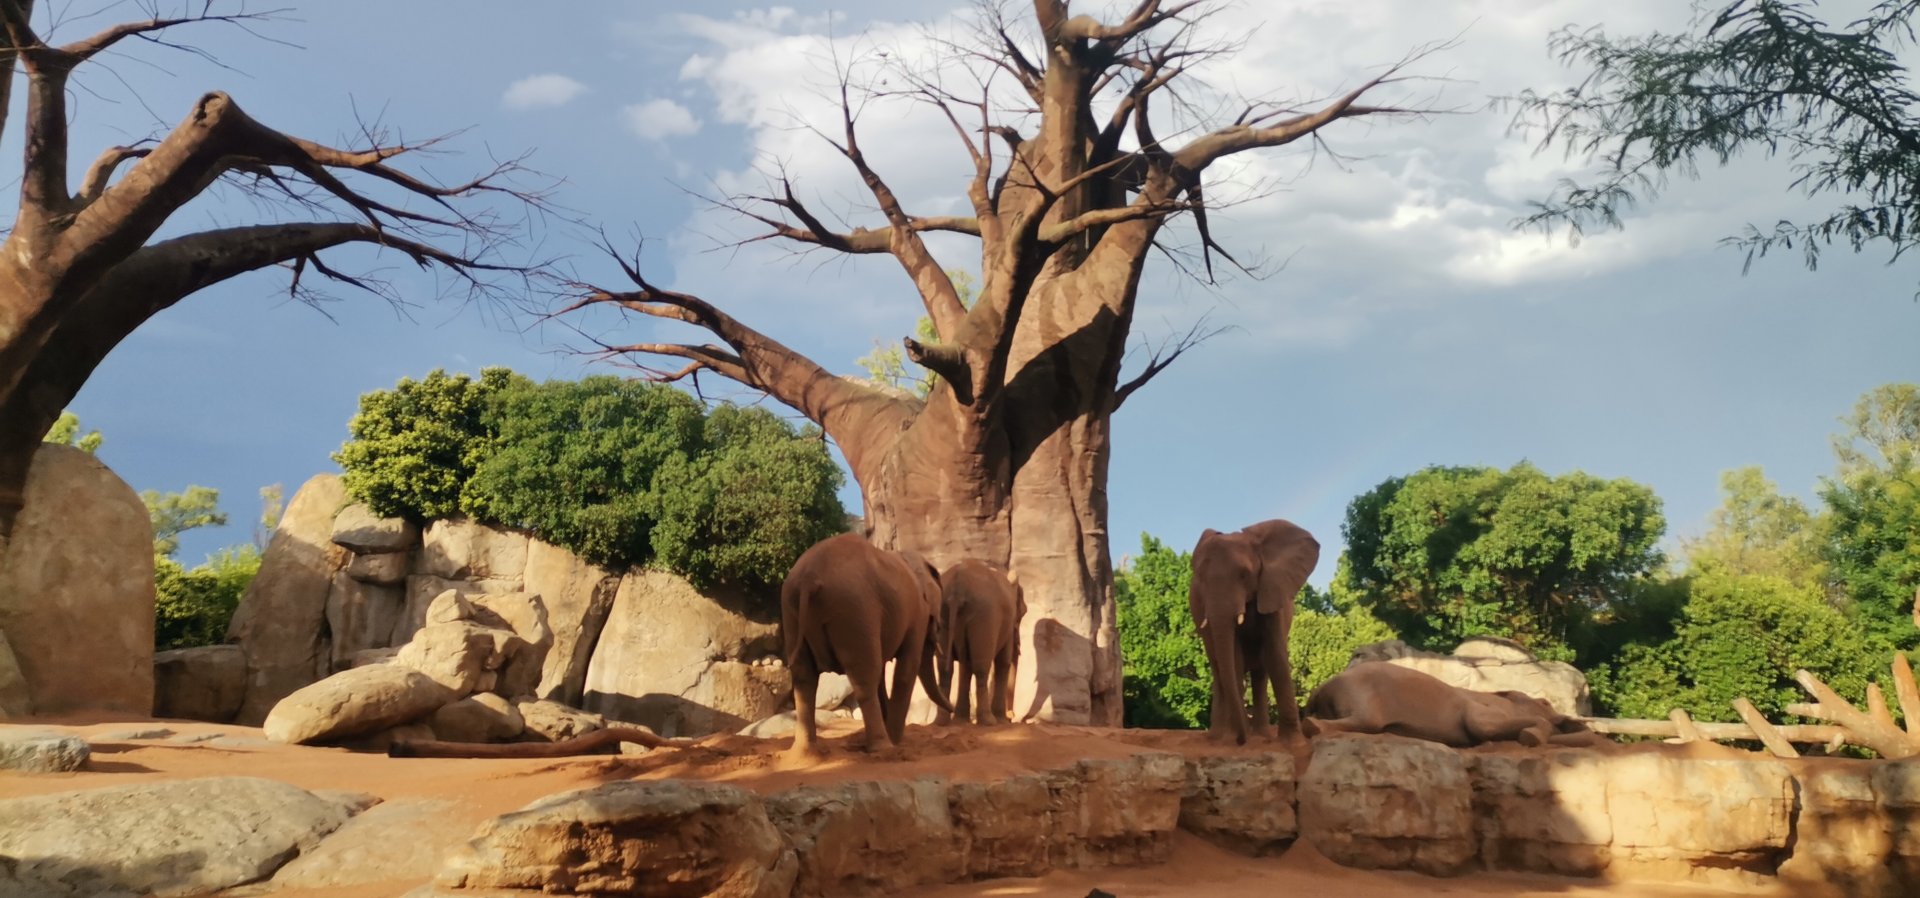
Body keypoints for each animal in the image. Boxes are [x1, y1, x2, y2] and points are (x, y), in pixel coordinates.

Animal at [781, 533, 954, 756]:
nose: (953, 709)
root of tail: (808, 579)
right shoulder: (917, 614)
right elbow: (906, 669)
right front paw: (896, 741)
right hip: (854, 610)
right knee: (864, 679)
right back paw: (884, 748)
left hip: (791, 610)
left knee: (804, 678)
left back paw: (805, 753)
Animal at [933, 560, 1026, 726]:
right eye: (1023, 613)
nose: (1012, 716)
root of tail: (957, 591)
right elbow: (1004, 661)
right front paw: (1001, 720)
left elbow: (965, 665)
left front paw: (960, 720)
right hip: (985, 617)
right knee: (981, 668)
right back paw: (989, 721)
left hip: (942, 614)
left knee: (945, 668)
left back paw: (941, 722)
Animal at [1189, 519, 1320, 745]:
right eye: (1201, 580)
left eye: (1244, 575)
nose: (1241, 741)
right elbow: (1234, 658)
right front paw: (1231, 738)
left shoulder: (1271, 591)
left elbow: (1275, 654)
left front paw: (1293, 744)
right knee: (1218, 669)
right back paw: (1218, 737)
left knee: (1260, 673)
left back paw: (1261, 735)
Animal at [1302, 661, 1608, 748]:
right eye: (1544, 701)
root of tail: (1321, 689)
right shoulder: (1481, 708)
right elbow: (1482, 726)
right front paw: (1531, 737)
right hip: (1363, 693)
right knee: (1367, 721)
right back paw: (1311, 726)